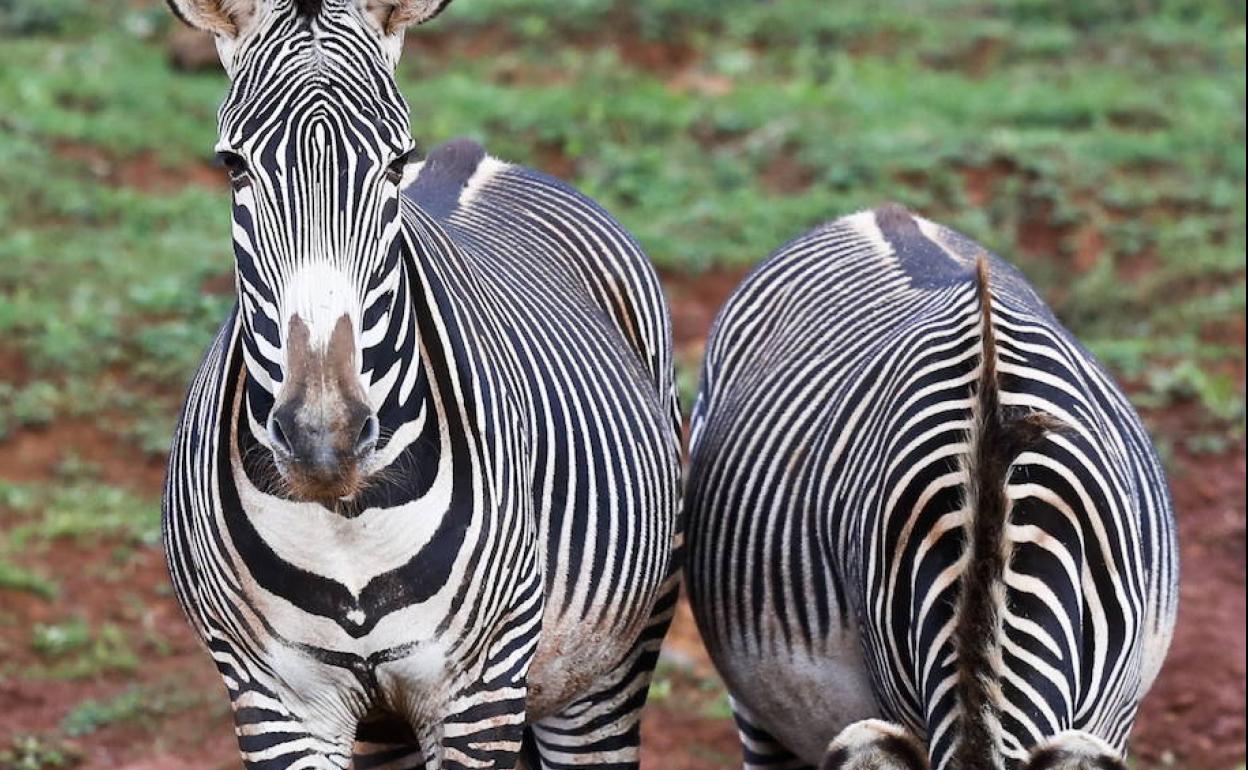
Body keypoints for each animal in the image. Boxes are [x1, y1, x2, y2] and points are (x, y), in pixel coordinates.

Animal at [158, 3, 683, 763]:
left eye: (395, 162)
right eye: (233, 165)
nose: (323, 440)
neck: (347, 522)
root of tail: (474, 159)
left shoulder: (480, 689)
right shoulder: (276, 698)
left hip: (604, 671)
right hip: (390, 729)